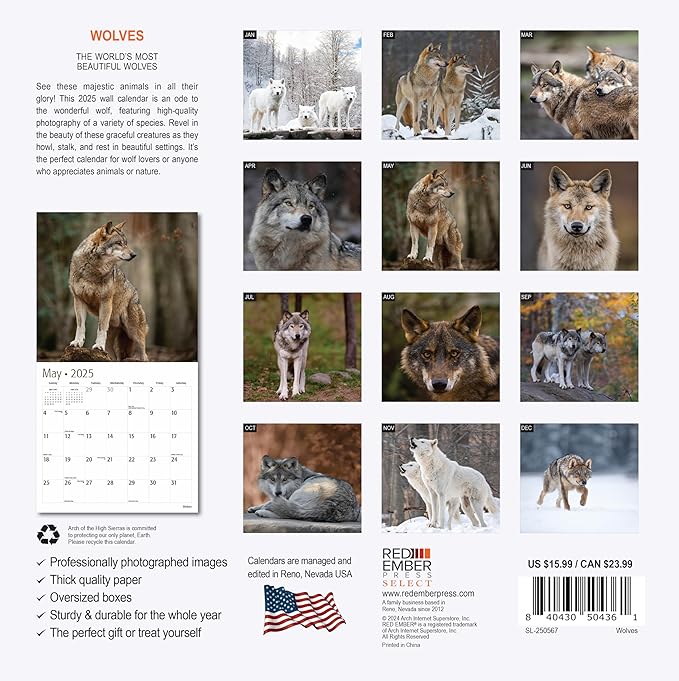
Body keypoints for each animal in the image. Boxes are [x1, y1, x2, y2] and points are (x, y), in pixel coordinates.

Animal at [68, 221, 148, 361]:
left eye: (126, 243)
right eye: (119, 243)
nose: (134, 255)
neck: (93, 268)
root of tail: (136, 296)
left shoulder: (105, 301)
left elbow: (101, 328)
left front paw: (99, 346)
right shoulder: (78, 300)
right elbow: (80, 326)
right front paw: (77, 343)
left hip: (134, 332)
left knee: (144, 354)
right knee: (115, 357)